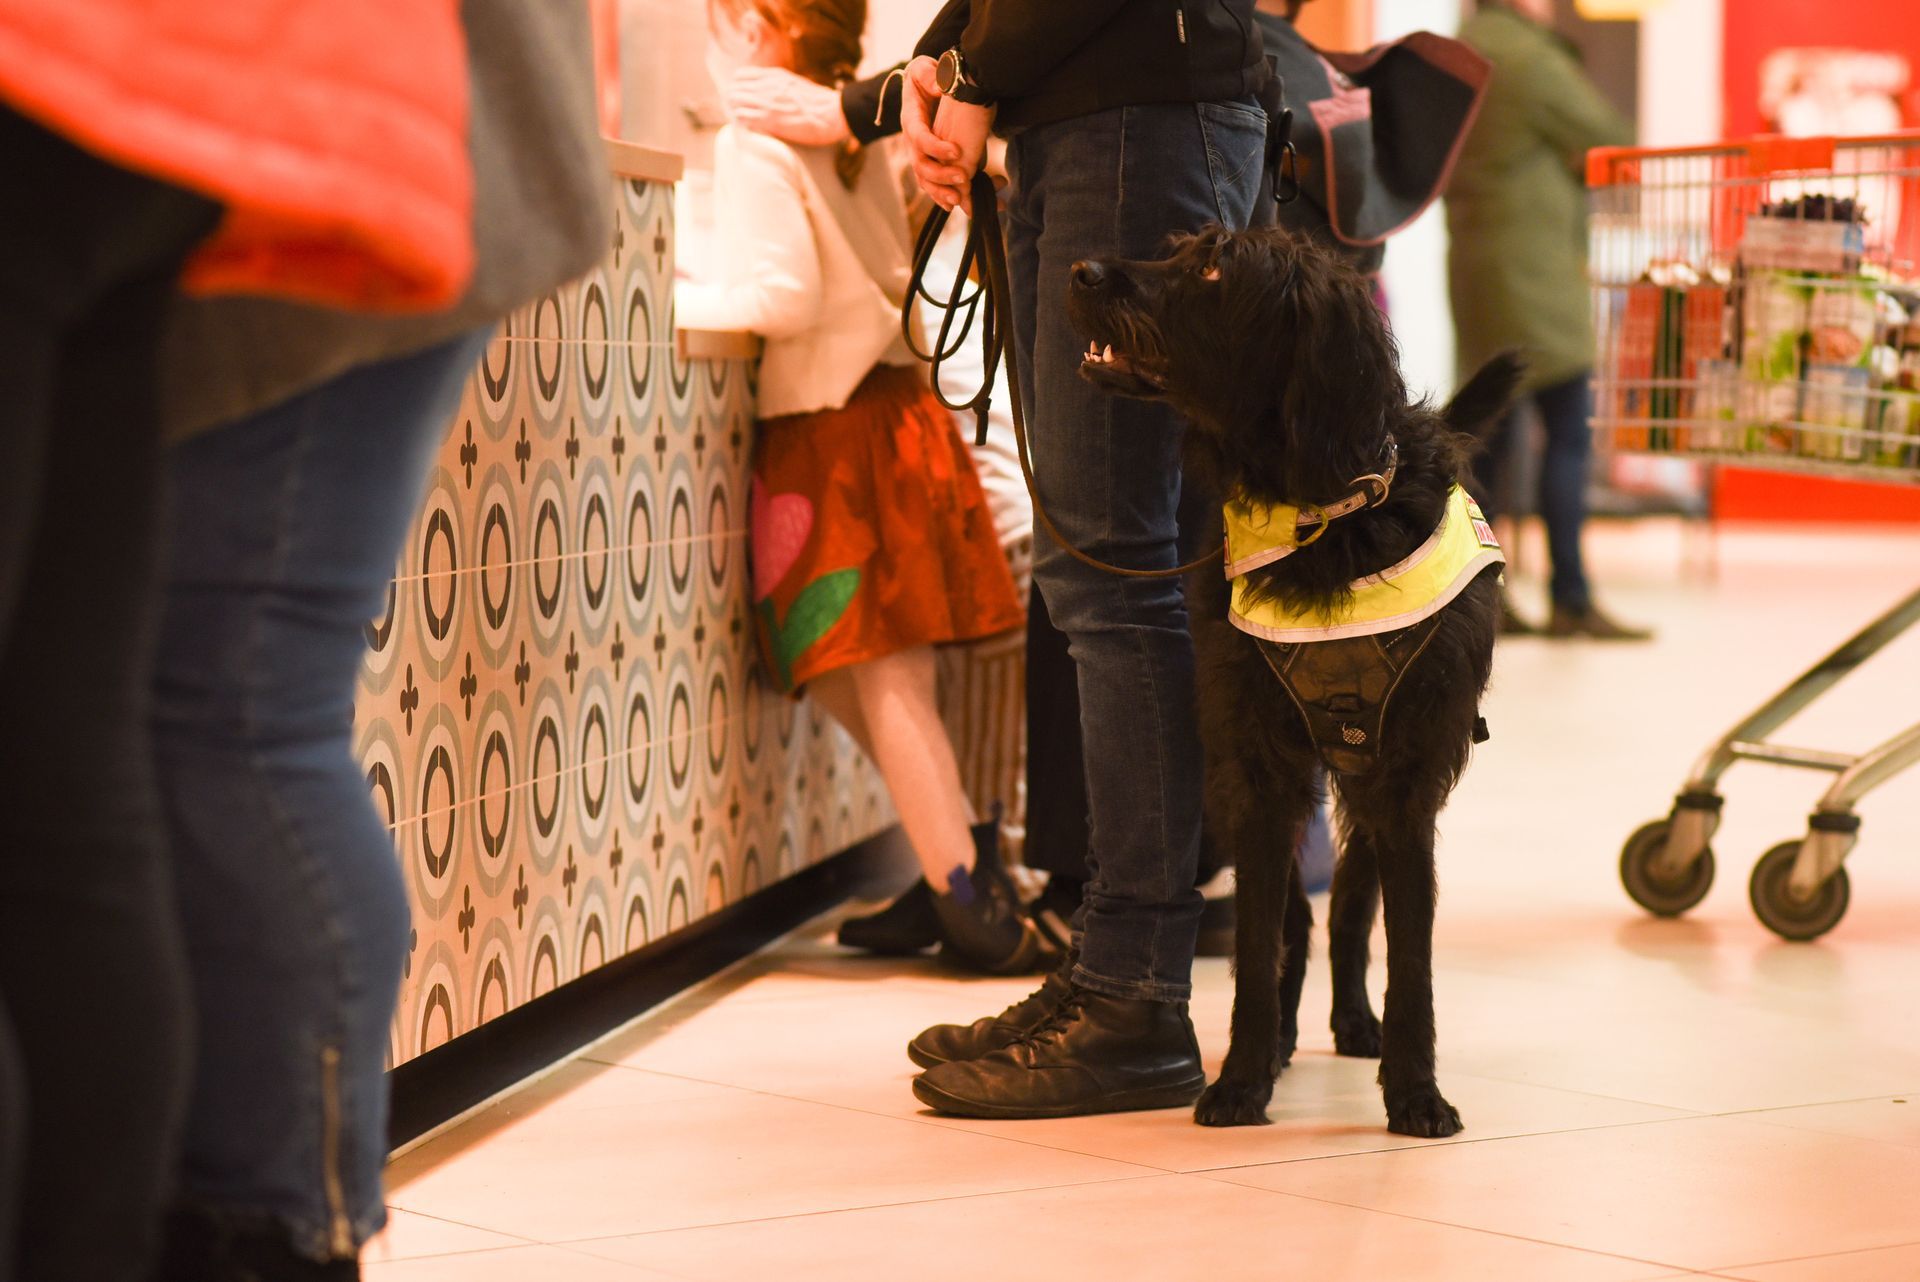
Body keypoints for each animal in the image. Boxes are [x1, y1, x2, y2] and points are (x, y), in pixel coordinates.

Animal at [1066, 225, 1522, 1136]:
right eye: (1179, 248)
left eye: (1213, 268)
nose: (1082, 269)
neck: (1327, 517)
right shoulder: (1255, 772)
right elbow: (1254, 946)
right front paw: (1243, 1077)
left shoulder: (1405, 777)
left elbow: (1410, 958)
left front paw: (1414, 1091)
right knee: (1298, 919)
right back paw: (1284, 1035)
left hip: (1365, 778)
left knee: (1347, 904)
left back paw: (1353, 1021)